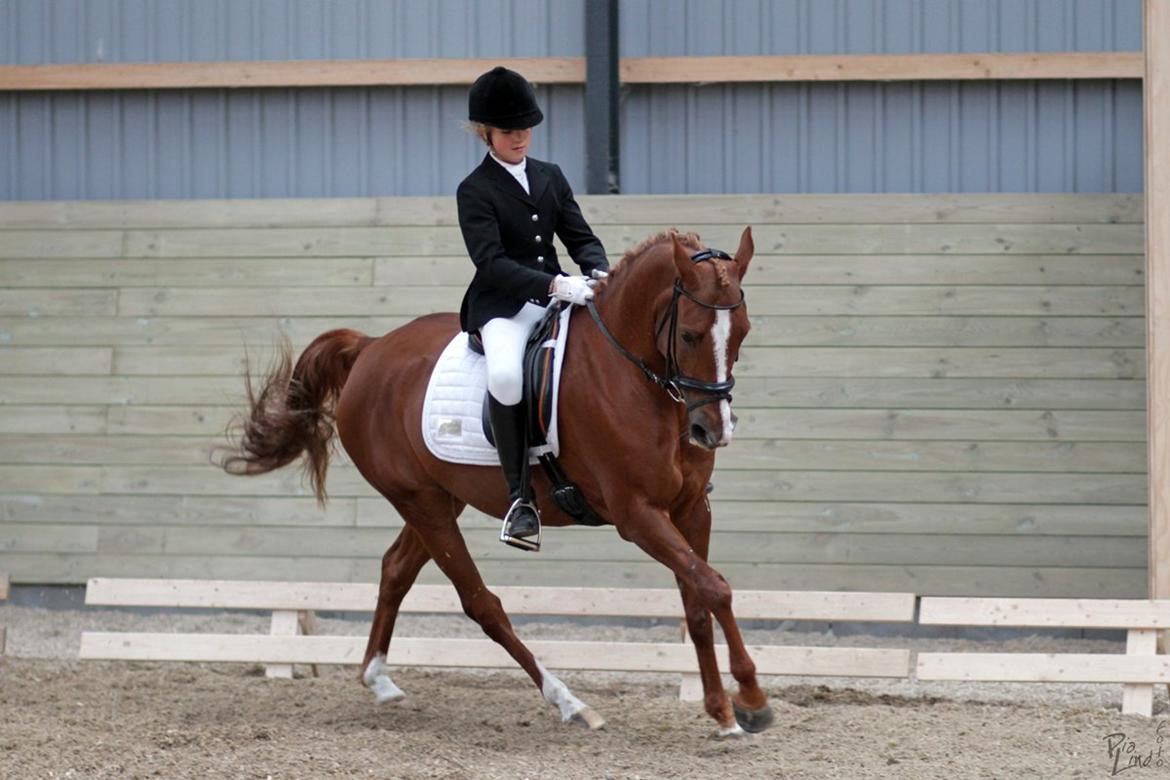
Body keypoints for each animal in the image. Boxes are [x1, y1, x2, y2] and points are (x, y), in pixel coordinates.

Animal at [219, 227, 773, 737]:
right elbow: (714, 588)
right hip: (420, 502)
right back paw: (571, 702)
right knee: (481, 603)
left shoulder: (690, 508)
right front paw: (750, 698)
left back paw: (378, 679)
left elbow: (698, 598)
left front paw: (722, 711)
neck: (634, 379)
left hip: (441, 499)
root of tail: (372, 349)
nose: (712, 431)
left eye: (742, 332)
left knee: (396, 568)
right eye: (691, 335)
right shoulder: (635, 514)